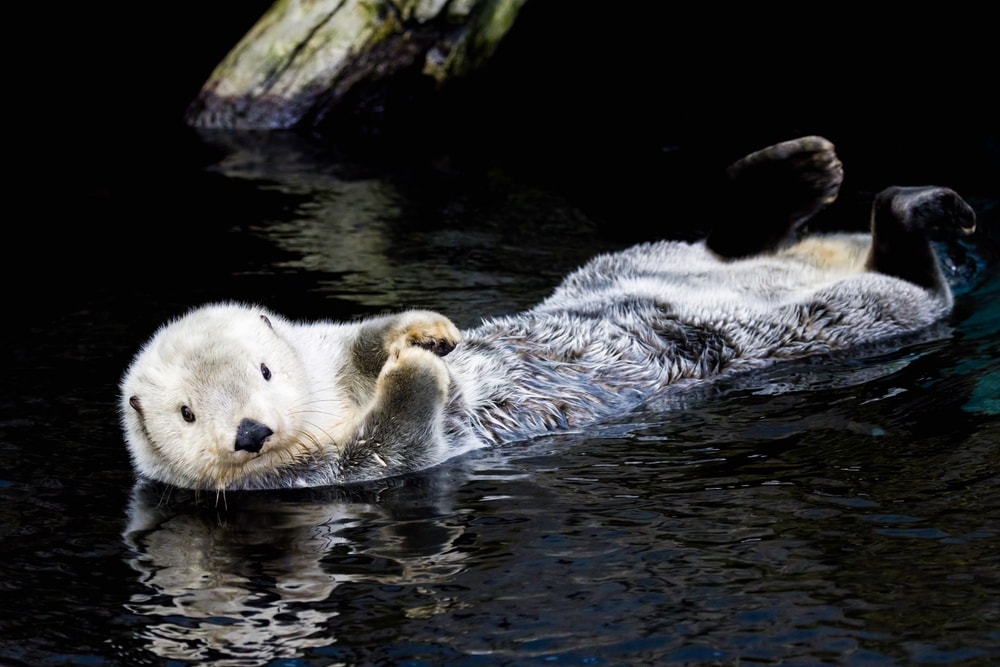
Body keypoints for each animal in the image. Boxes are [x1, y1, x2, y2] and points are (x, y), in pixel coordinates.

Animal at [119, 136, 977, 491]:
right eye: (189, 414)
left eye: (267, 369)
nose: (251, 431)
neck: (329, 405)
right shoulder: (338, 474)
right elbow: (401, 436)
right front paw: (418, 368)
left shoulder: (327, 346)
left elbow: (363, 336)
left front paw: (420, 335)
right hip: (867, 311)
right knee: (916, 274)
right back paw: (923, 208)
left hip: (643, 255)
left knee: (730, 235)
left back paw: (805, 169)